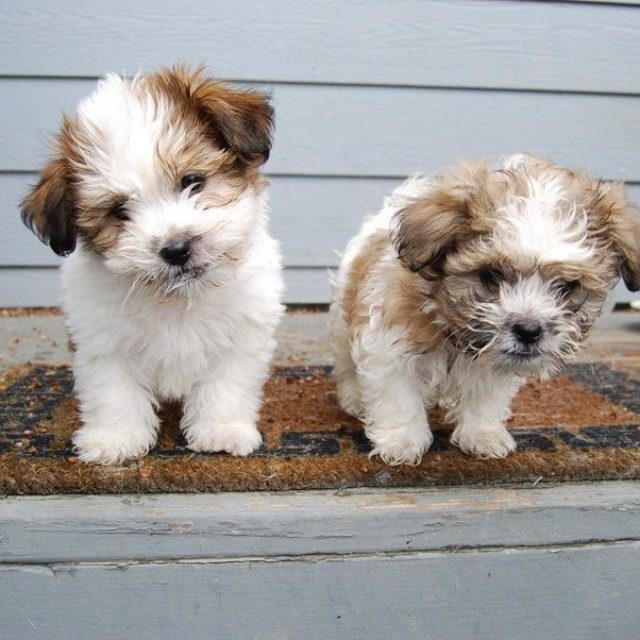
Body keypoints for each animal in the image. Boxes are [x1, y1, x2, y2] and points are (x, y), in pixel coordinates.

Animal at [22, 67, 282, 462]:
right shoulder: (103, 340)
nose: (176, 249)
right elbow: (114, 392)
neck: (177, 298)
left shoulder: (242, 334)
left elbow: (225, 386)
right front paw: (116, 438)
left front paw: (221, 430)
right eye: (119, 211)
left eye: (192, 181)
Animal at [330, 155, 640, 464]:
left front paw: (482, 434)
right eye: (490, 275)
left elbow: (484, 399)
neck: (452, 329)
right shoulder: (388, 345)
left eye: (567, 286)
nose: (529, 330)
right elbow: (397, 396)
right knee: (346, 360)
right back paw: (353, 397)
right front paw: (402, 440)